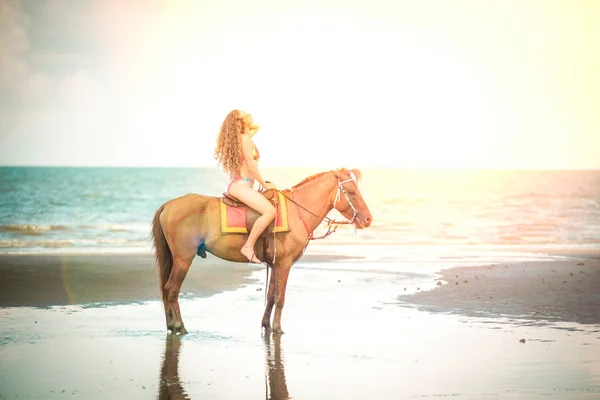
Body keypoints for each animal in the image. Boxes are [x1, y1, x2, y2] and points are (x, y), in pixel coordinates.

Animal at [151, 168, 370, 334]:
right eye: (351, 192)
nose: (368, 219)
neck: (296, 211)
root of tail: (167, 205)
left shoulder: (274, 264)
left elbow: (271, 295)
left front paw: (266, 325)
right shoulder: (284, 263)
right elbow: (280, 297)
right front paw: (277, 328)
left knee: (166, 290)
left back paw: (171, 325)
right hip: (183, 258)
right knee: (171, 290)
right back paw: (179, 326)